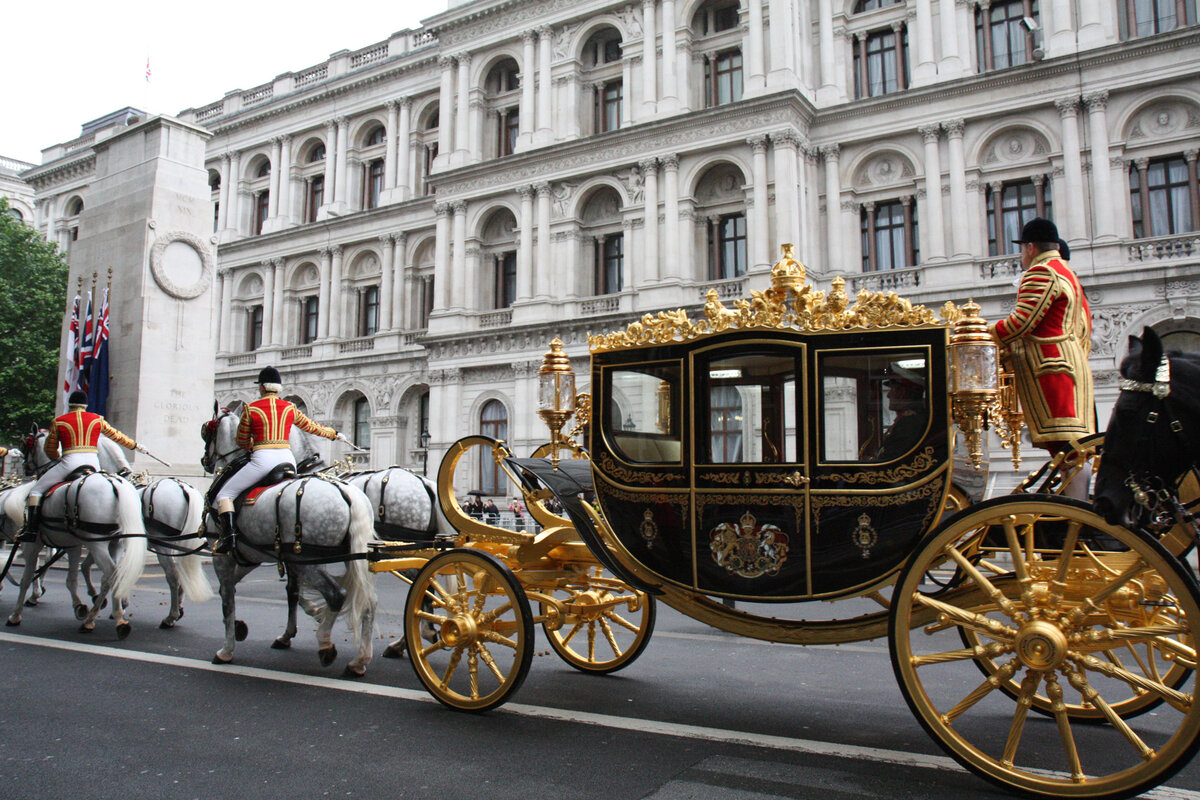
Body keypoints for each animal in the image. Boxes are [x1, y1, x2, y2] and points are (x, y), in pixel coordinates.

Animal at [2, 438, 145, 638]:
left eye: (27, 445)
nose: (26, 467)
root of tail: (114, 483)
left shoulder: (33, 544)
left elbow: (27, 577)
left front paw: (15, 614)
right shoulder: (74, 544)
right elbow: (72, 577)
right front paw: (81, 605)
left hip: (97, 544)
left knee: (111, 573)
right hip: (112, 542)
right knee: (112, 574)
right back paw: (105, 616)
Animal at [201, 407, 376, 676]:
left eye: (206, 432)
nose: (205, 462)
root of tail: (347, 492)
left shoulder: (224, 556)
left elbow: (227, 597)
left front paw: (226, 649)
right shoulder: (255, 554)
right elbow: (289, 592)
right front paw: (279, 632)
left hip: (311, 561)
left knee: (337, 594)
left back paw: (325, 644)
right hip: (350, 559)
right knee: (367, 601)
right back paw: (359, 661)